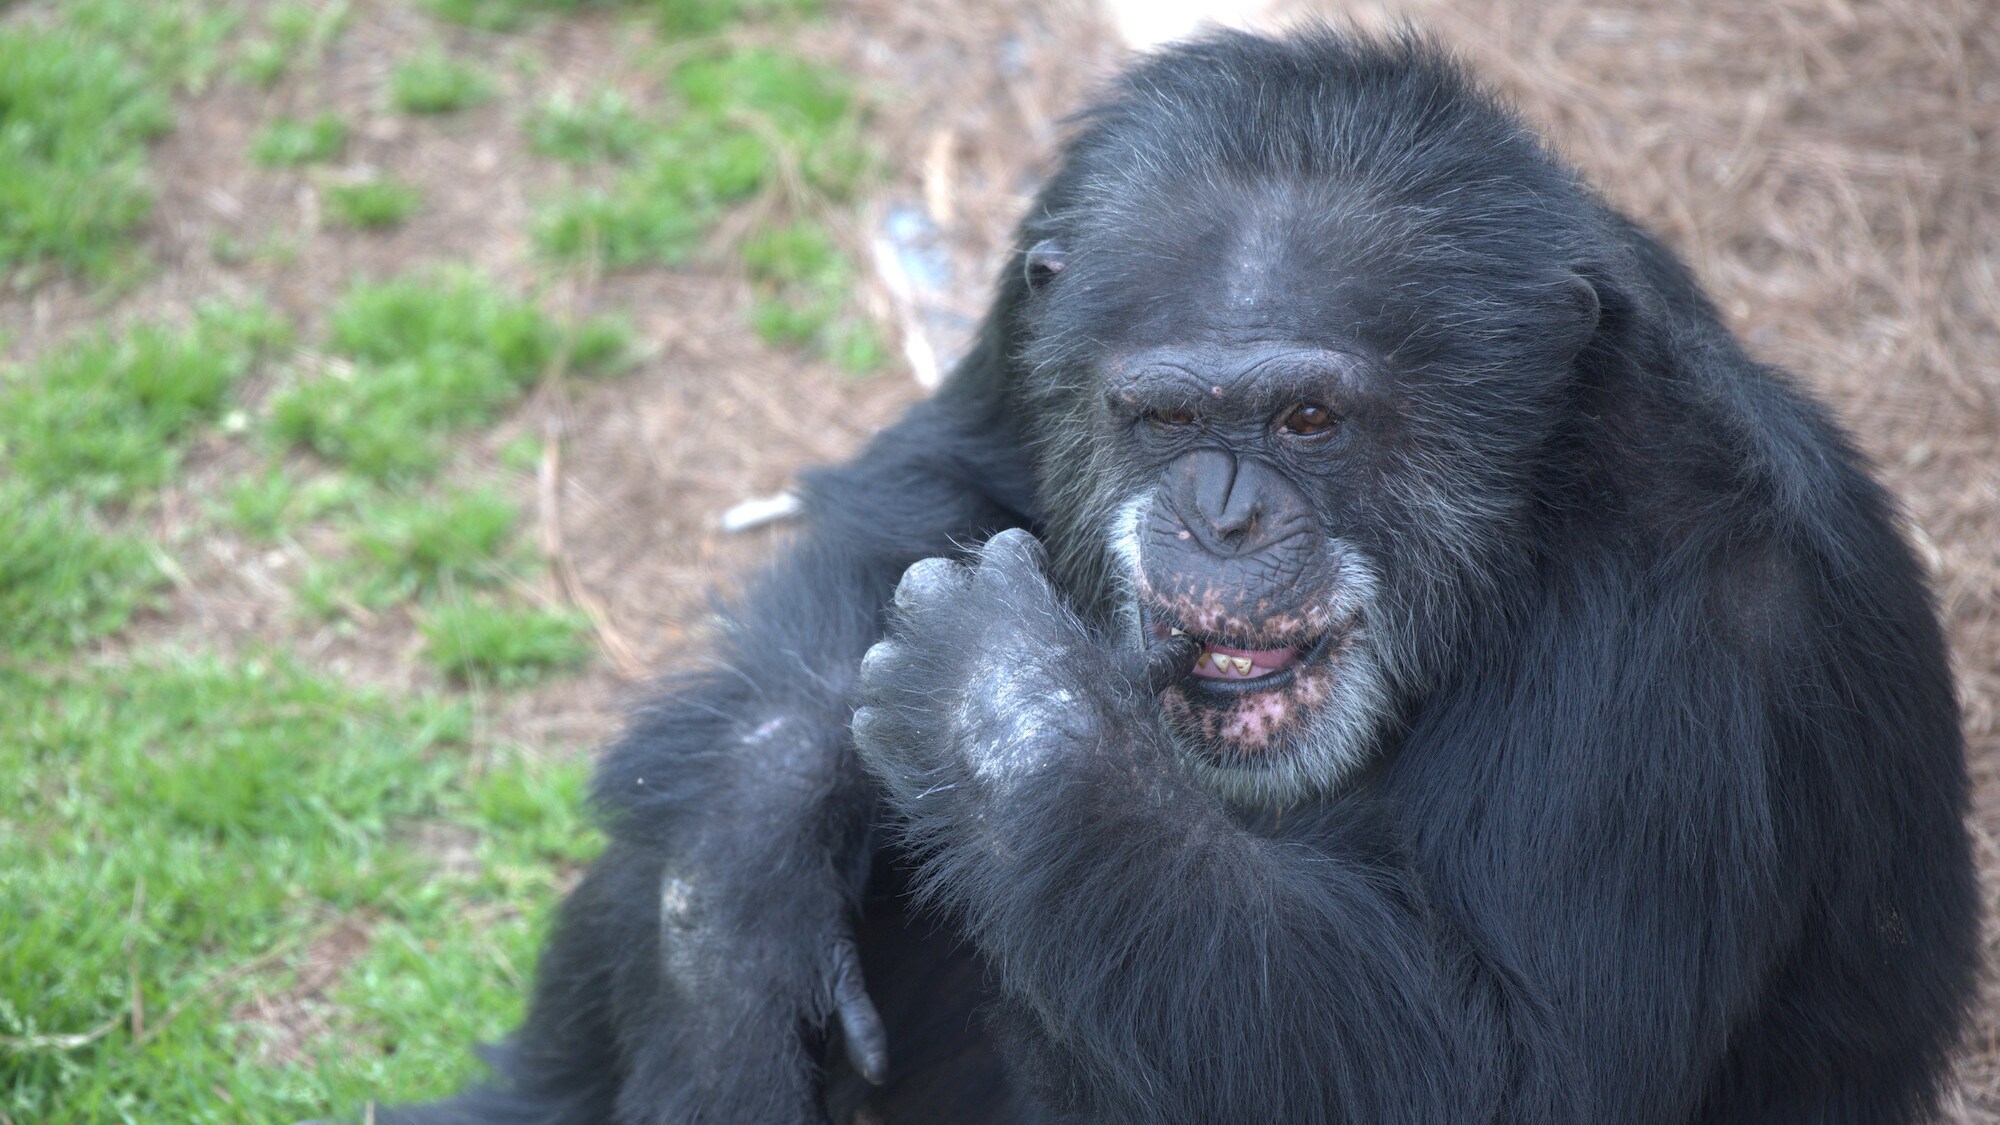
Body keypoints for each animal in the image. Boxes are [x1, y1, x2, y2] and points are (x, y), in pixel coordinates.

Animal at [368, 26, 1976, 1120]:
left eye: (1310, 420)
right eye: (1163, 418)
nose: (1218, 513)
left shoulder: (1696, 618)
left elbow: (1512, 1064)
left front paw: (1001, 708)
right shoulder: (1031, 301)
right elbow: (926, 486)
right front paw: (746, 868)